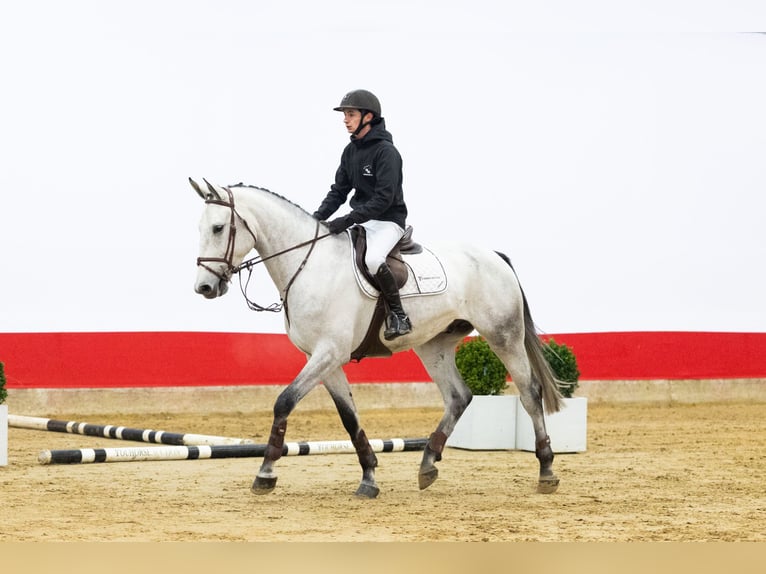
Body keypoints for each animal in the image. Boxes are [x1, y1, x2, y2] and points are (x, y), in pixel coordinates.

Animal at [190, 178, 563, 498]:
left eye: (218, 228)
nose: (204, 288)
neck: (310, 265)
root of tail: (494, 256)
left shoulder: (328, 353)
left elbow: (284, 401)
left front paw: (265, 473)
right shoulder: (324, 359)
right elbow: (349, 417)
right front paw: (369, 476)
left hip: (503, 335)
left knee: (530, 393)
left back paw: (546, 470)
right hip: (433, 346)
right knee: (458, 397)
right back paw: (427, 465)